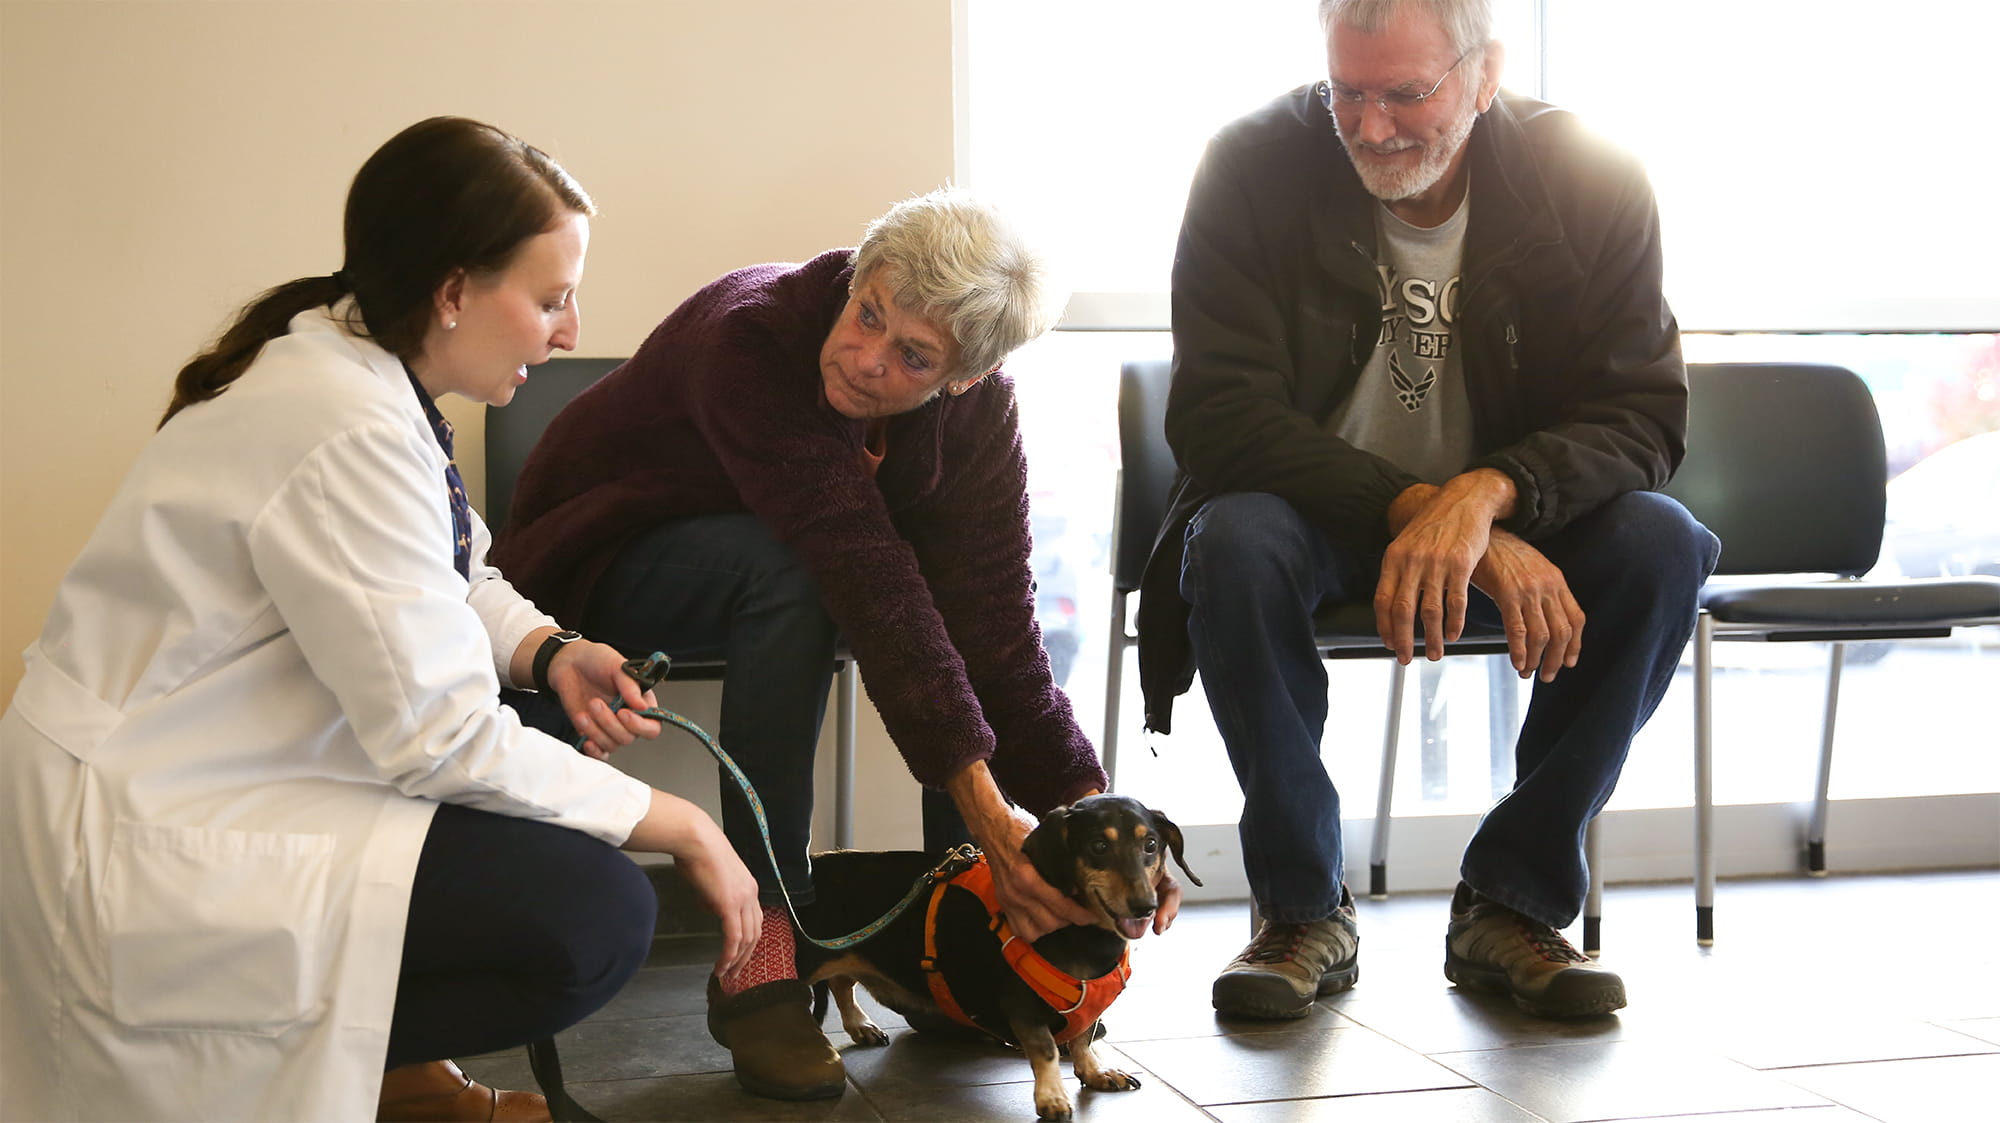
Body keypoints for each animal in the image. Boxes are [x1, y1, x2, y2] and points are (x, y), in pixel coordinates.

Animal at [792, 791, 1200, 1111]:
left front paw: (1096, 1070)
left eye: (1151, 845)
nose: (1145, 907)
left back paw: (859, 1025)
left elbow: (1084, 1036)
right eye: (1099, 845)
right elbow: (1047, 1047)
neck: (1085, 938)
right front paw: (1051, 1096)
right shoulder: (1020, 1004)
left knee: (842, 983)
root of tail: (818, 862)